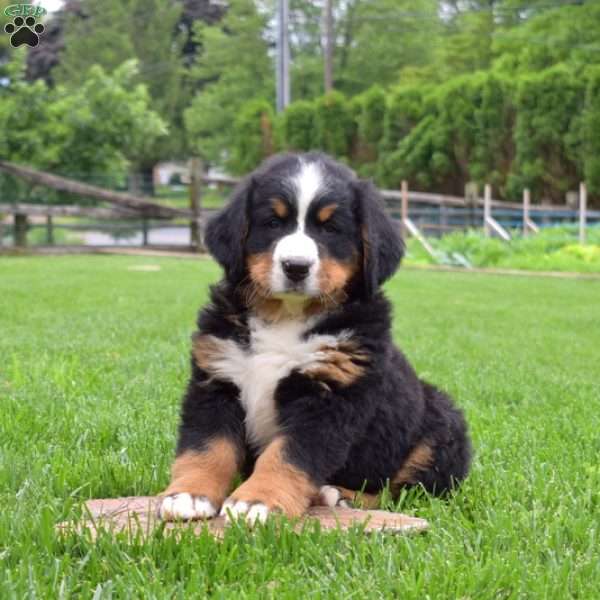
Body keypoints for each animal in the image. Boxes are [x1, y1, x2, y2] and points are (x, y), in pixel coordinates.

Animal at [161, 152, 474, 524]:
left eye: (331, 228)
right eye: (273, 222)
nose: (296, 266)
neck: (286, 316)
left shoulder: (329, 396)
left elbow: (288, 455)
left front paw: (258, 500)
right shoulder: (217, 378)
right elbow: (207, 447)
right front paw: (189, 493)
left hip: (440, 424)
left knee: (401, 489)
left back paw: (341, 496)